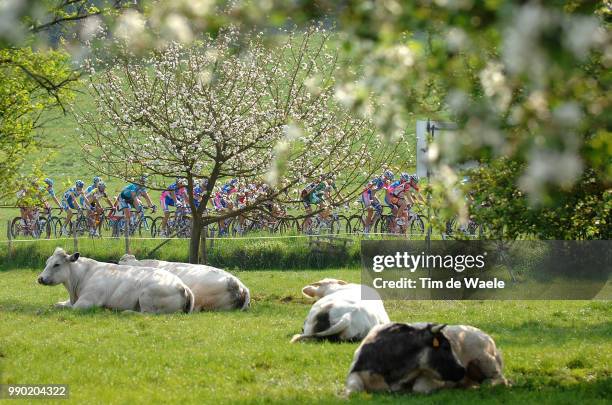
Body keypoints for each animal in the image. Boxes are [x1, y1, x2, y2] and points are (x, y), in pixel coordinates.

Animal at [37, 246, 194, 312]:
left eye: (57, 264)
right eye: (46, 262)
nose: (40, 279)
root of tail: (181, 285)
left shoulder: (86, 302)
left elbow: (68, 309)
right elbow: (57, 305)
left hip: (146, 297)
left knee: (146, 314)